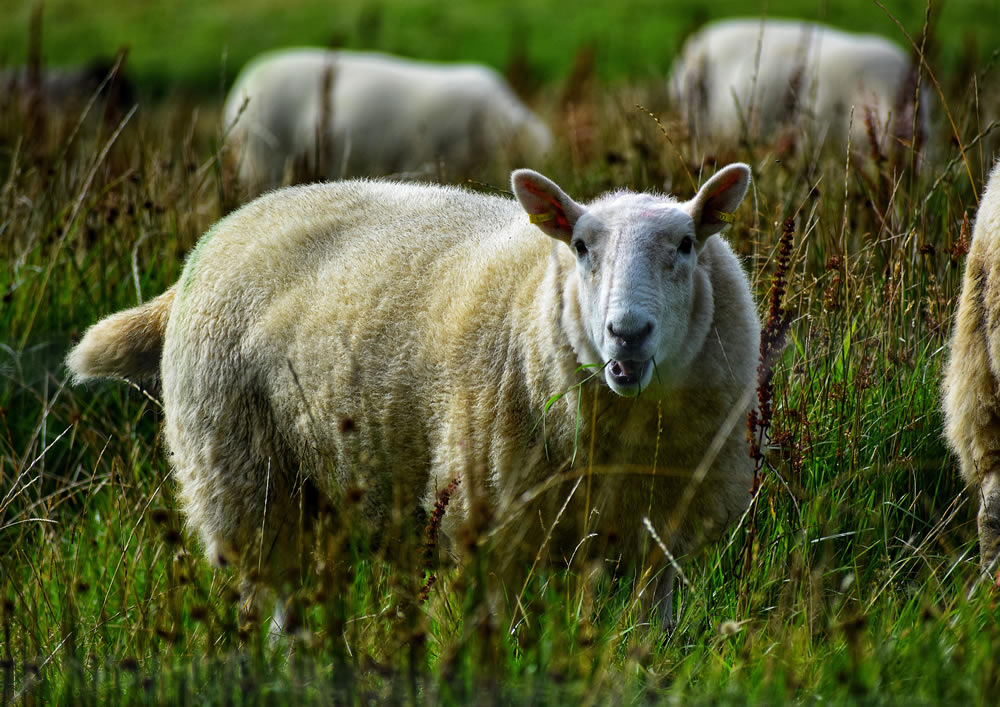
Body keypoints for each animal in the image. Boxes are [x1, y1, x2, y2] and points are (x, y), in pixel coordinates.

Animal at [68, 166, 756, 632]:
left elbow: (650, 633)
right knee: (275, 601)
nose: (627, 333)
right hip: (243, 478)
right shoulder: (489, 523)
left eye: (686, 245)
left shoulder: (661, 535)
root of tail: (218, 235)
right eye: (581, 247)